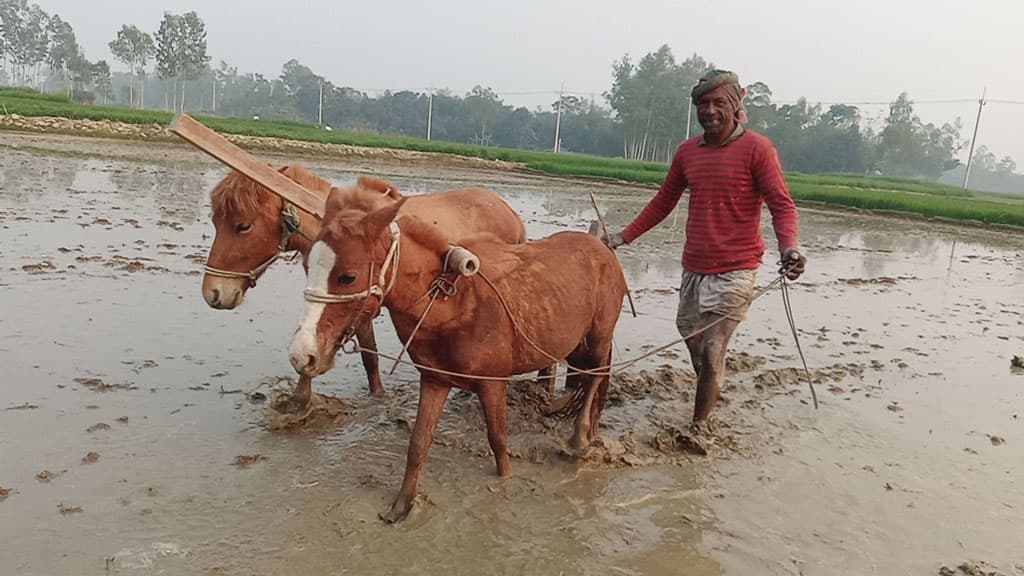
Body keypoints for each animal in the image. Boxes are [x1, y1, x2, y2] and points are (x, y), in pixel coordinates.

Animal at [202, 162, 532, 399]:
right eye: (214, 222)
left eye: (243, 226)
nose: (213, 293)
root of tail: (509, 210)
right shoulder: (352, 305)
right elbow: (366, 355)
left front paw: (299, 403)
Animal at [284, 179, 626, 520]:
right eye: (306, 266)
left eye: (348, 276)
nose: (302, 354)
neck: (455, 302)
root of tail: (603, 251)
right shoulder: (435, 380)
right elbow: (418, 443)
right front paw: (402, 506)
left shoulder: (492, 383)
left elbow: (498, 441)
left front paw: (505, 481)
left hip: (599, 338)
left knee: (594, 379)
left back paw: (579, 436)